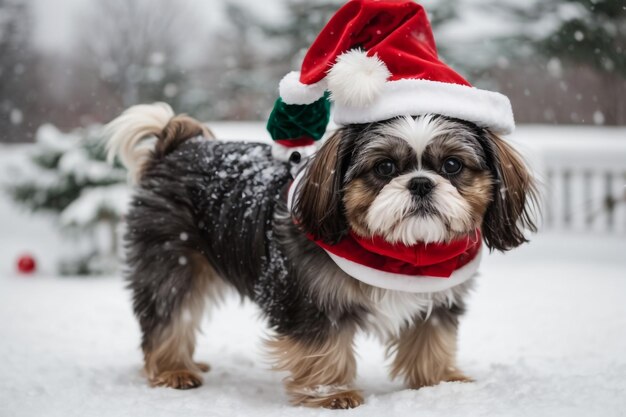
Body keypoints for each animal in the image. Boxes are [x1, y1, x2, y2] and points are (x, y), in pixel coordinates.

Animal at [102, 0, 536, 410]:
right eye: (384, 167)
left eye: (452, 165)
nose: (420, 183)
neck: (399, 253)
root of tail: (176, 146)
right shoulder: (309, 298)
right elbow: (323, 347)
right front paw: (331, 394)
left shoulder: (438, 300)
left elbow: (431, 340)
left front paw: (441, 385)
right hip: (171, 260)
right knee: (168, 315)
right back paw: (173, 369)